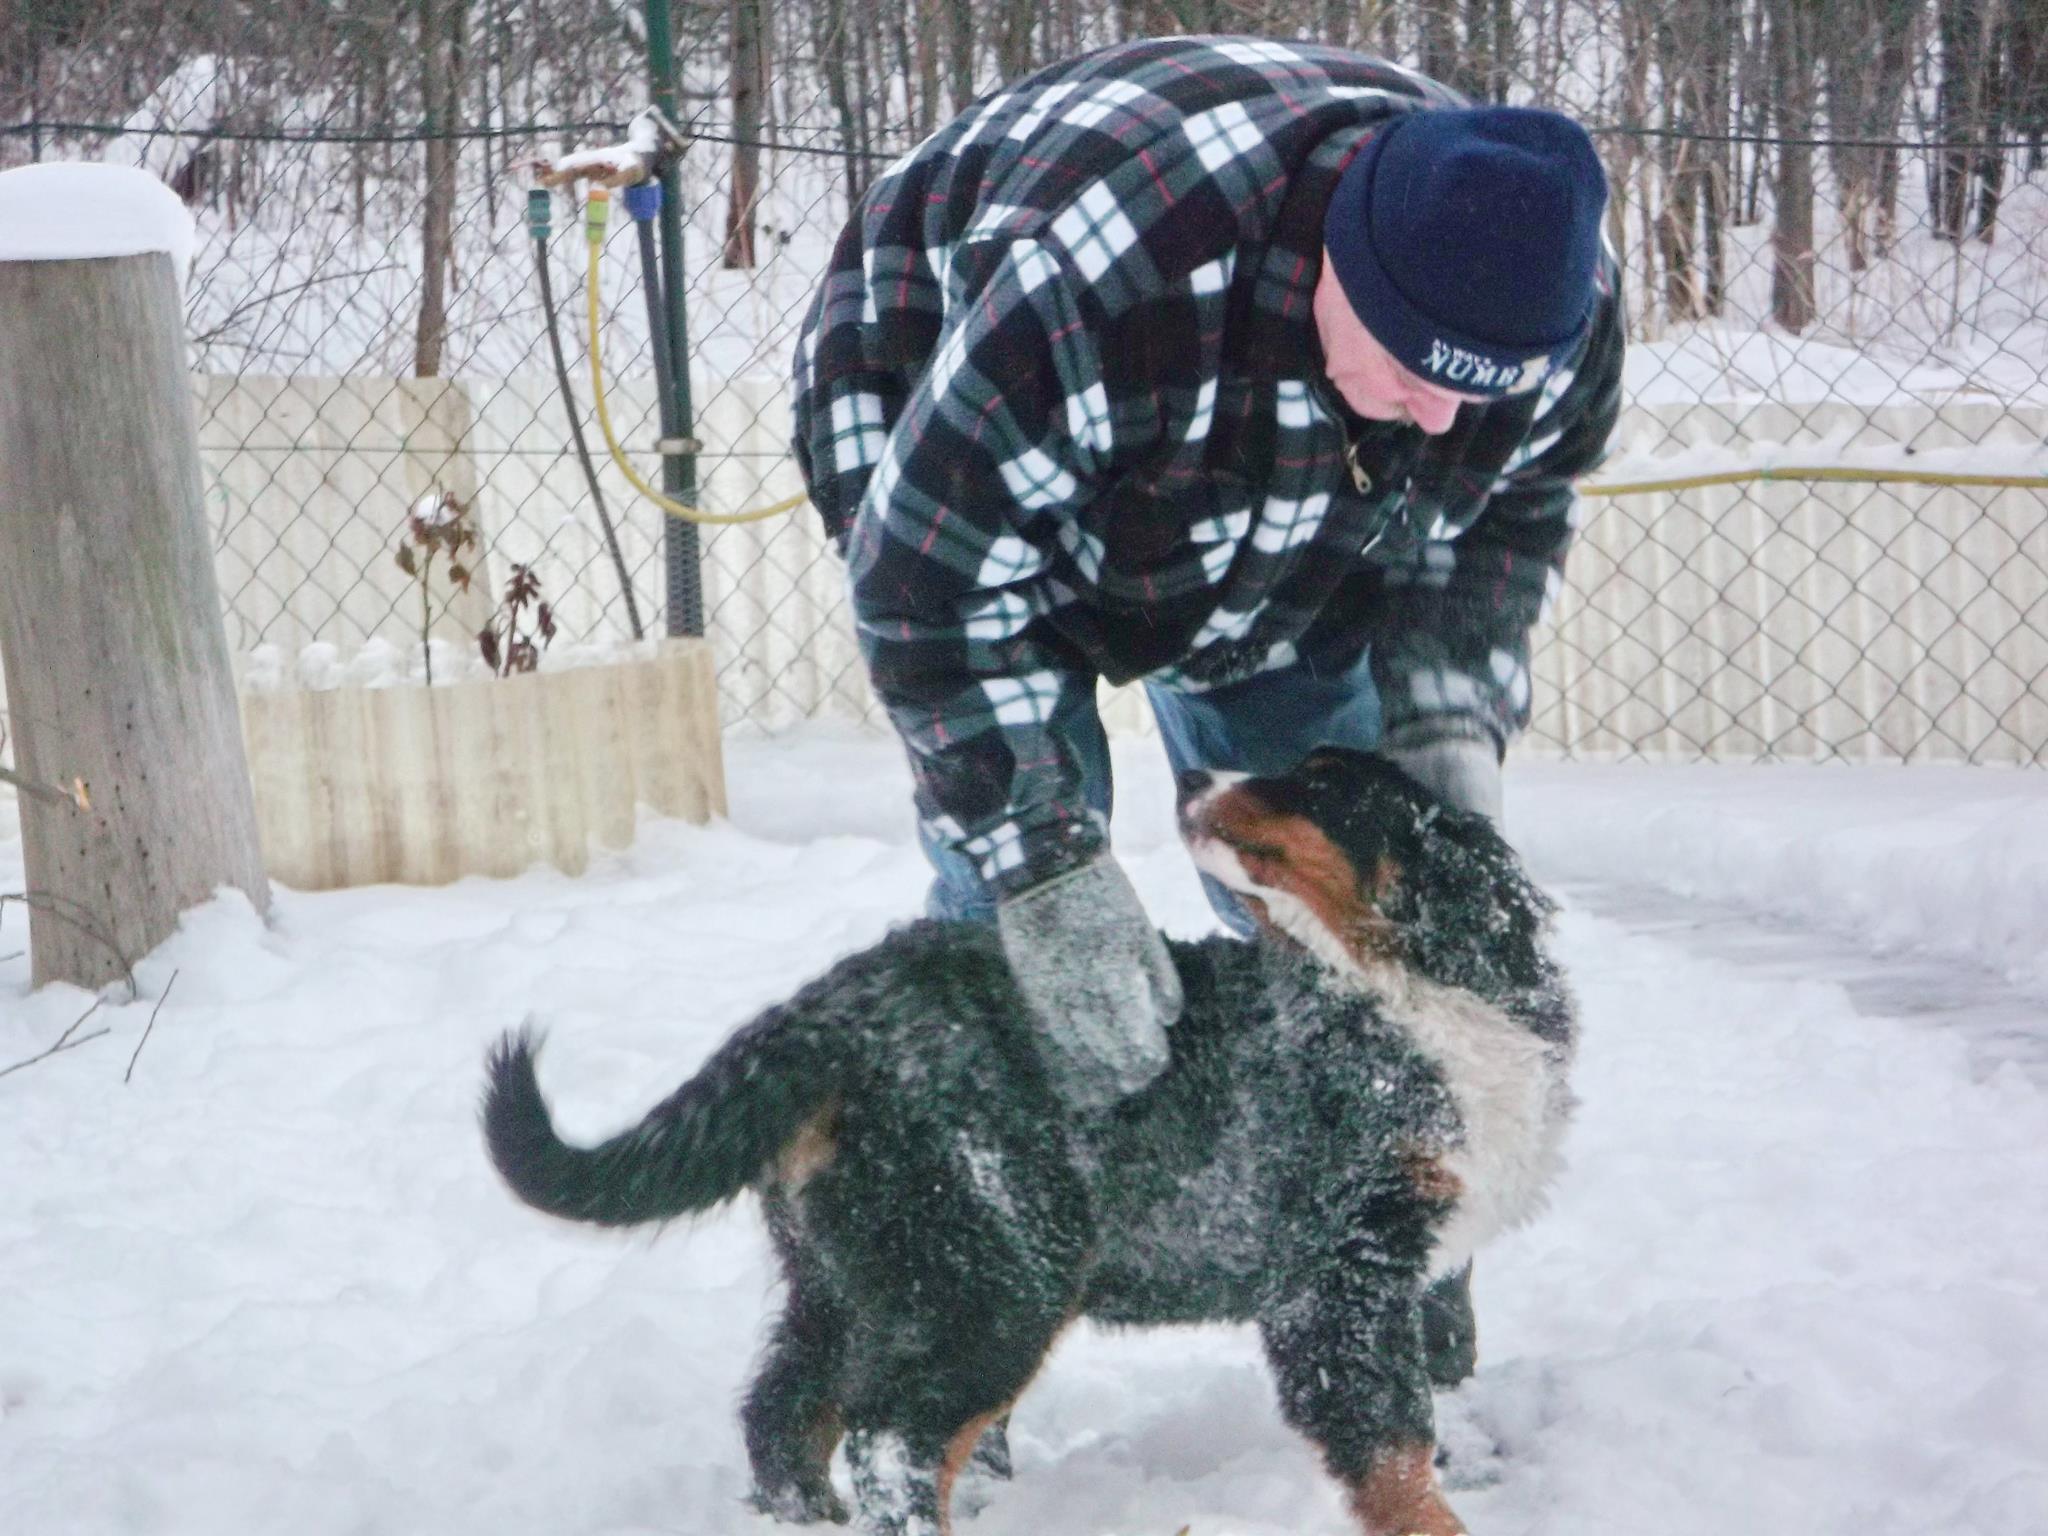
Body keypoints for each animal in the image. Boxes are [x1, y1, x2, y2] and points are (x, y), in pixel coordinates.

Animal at [482, 748, 1574, 1536]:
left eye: (1313, 783)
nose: (1190, 777)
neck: (1404, 996)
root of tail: (831, 1011)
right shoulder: (1337, 1275)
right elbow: (1391, 1454)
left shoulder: (1419, 1264)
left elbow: (1436, 1387)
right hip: (994, 1269)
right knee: (894, 1442)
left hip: (855, 1272)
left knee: (787, 1413)